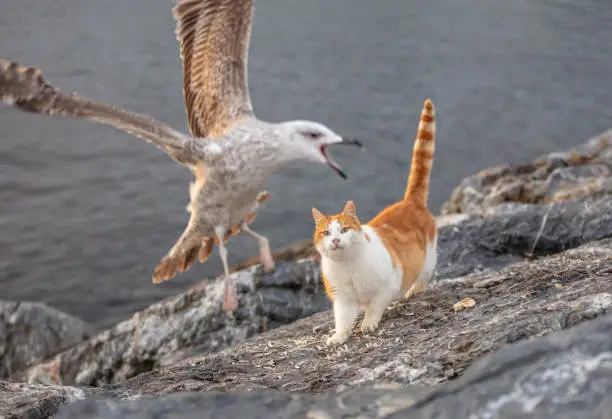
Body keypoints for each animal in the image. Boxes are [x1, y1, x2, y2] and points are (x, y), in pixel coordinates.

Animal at [314, 100, 438, 346]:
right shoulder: (342, 299)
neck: (348, 266)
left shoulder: (388, 283)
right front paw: (339, 336)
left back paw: (414, 290)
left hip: (428, 257)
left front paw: (368, 323)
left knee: (425, 275)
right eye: (326, 233)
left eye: (344, 229)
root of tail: (410, 201)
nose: (335, 240)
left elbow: (374, 306)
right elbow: (342, 320)